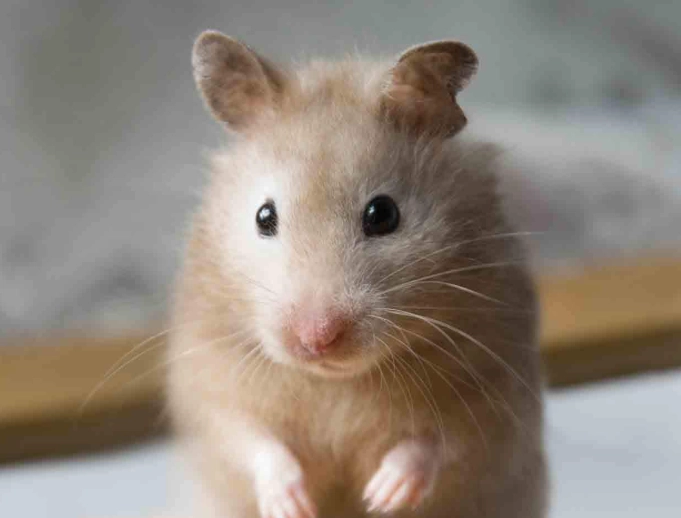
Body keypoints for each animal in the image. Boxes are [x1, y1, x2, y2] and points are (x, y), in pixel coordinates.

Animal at [168, 31, 548, 518]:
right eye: (263, 216)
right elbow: (252, 440)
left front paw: (381, 494)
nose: (316, 339)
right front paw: (294, 505)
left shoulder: (497, 390)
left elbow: (439, 442)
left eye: (382, 214)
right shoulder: (208, 381)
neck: (337, 381)